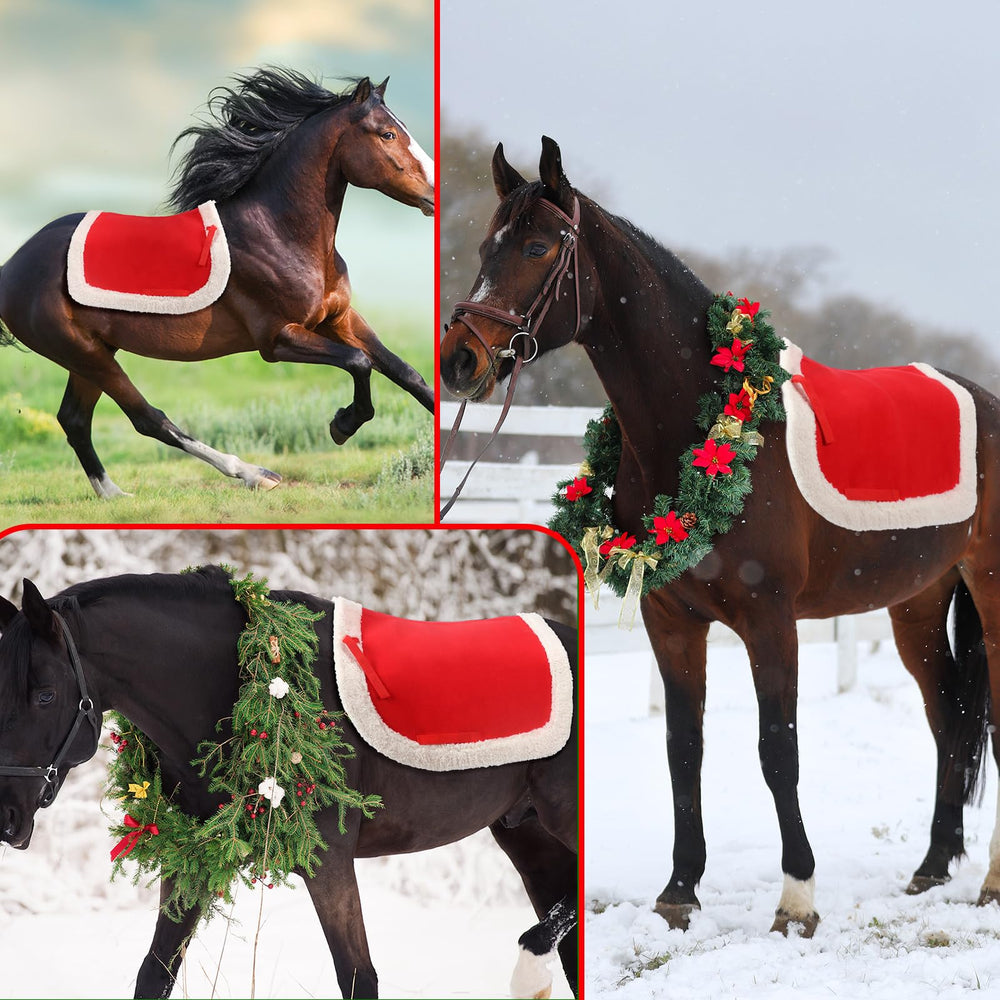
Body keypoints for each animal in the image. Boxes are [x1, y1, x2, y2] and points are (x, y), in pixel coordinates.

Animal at [0, 68, 435, 497]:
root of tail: (11, 268)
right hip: (84, 353)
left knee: (74, 419)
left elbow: (406, 373)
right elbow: (360, 362)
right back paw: (254, 473)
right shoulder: (278, 339)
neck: (280, 232)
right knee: (147, 418)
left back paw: (113, 495)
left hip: (93, 353)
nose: (434, 192)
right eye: (388, 134)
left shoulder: (340, 318)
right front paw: (342, 424)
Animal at [0, 565, 578, 999]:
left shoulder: (329, 864)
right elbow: (154, 973)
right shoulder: (191, 860)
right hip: (525, 833)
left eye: (46, 694)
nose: (5, 817)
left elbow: (358, 977)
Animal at [440, 136, 1000, 936]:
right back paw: (931, 865)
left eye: (539, 246)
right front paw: (680, 890)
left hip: (987, 591)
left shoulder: (771, 622)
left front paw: (797, 898)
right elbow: (684, 748)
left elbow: (777, 751)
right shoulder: (670, 620)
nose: (459, 359)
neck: (701, 427)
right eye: (488, 244)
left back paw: (988, 877)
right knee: (949, 715)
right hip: (917, 604)